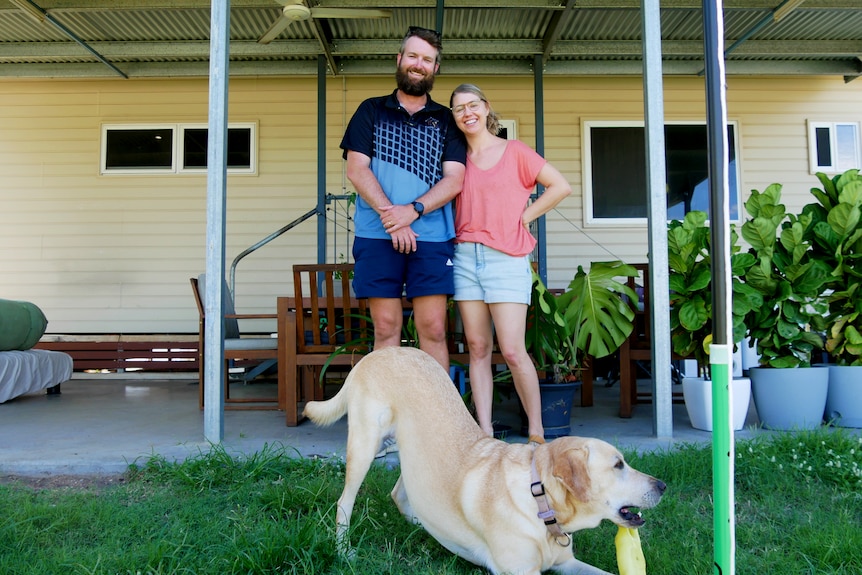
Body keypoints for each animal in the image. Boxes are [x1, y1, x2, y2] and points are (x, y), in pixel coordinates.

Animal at [304, 346, 668, 575]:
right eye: (618, 465)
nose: (663, 485)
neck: (541, 501)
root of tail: (378, 352)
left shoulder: (566, 564)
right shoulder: (521, 572)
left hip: (408, 451)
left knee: (401, 493)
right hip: (365, 445)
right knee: (344, 502)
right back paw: (344, 549)